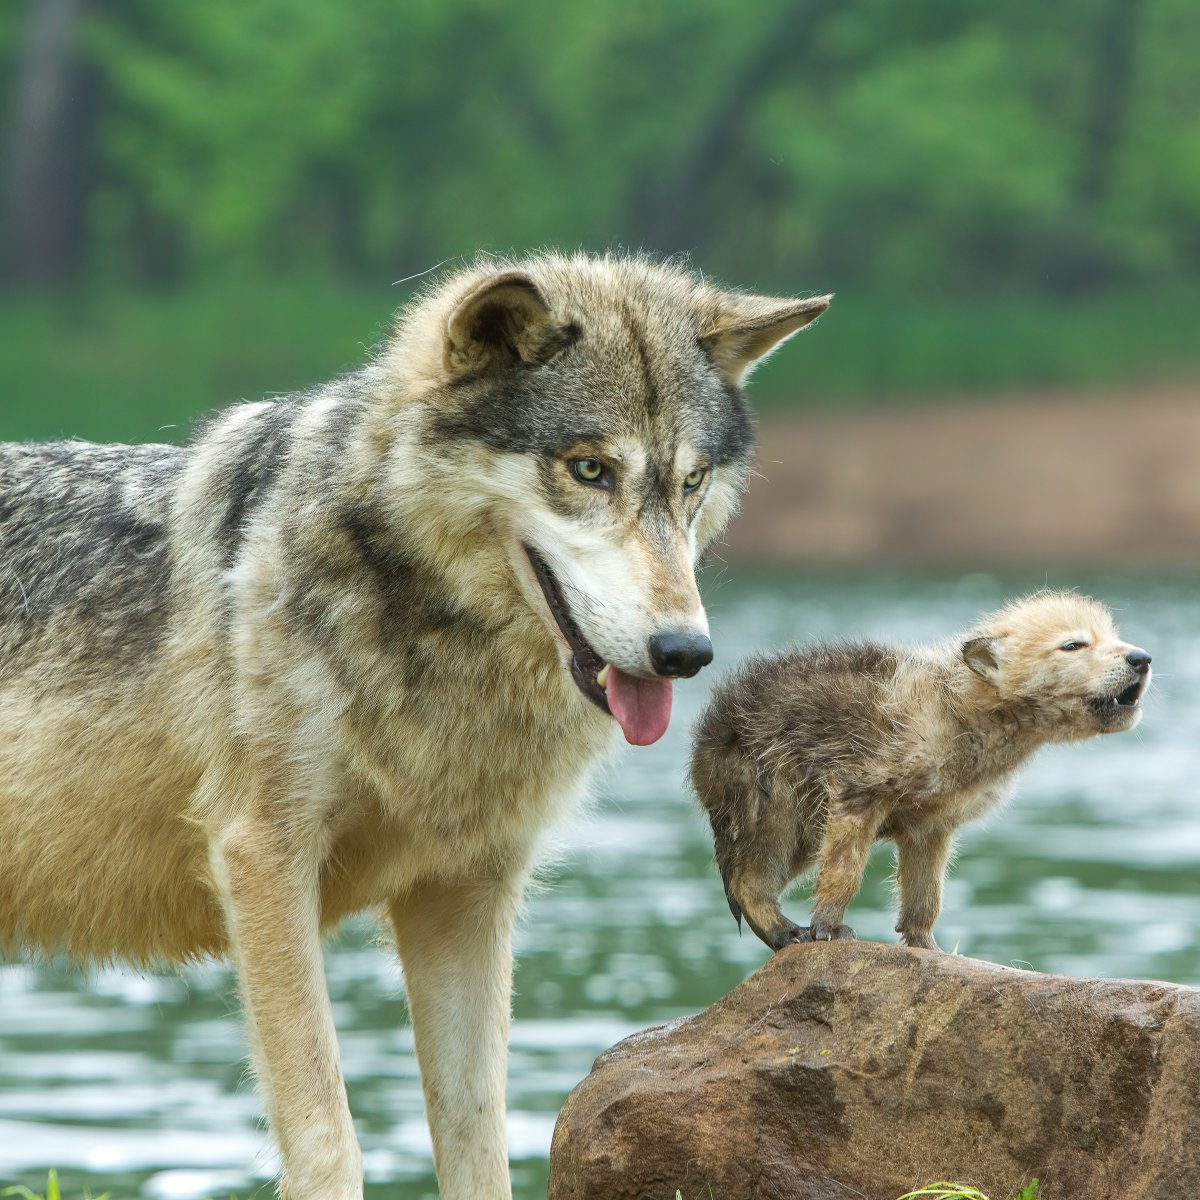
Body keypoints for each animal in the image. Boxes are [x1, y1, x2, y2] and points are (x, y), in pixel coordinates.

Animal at [0, 252, 830, 1199]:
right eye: (589, 470)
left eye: (690, 482)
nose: (685, 651)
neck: (435, 641)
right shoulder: (263, 862)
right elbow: (327, 1136)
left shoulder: (466, 893)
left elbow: (478, 1138)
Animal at [692, 591, 1151, 952]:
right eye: (1073, 645)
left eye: (1111, 635)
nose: (1140, 658)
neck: (960, 710)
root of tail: (706, 736)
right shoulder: (862, 784)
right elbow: (843, 865)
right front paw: (829, 927)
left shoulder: (932, 823)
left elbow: (926, 891)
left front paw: (927, 944)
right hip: (769, 790)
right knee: (750, 875)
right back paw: (785, 930)